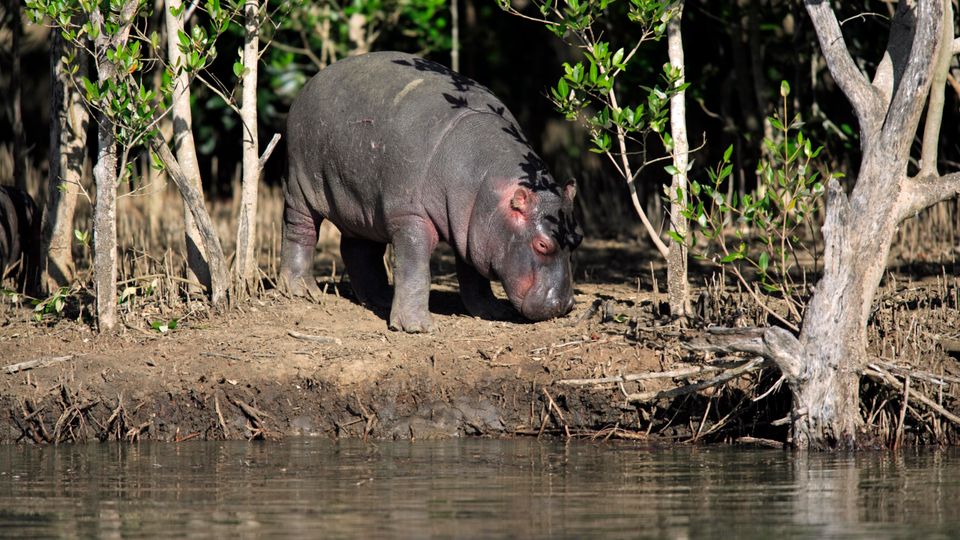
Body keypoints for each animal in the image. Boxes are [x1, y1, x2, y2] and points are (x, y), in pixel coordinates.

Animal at [281, 52, 581, 332]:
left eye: (578, 239)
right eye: (542, 244)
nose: (564, 305)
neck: (488, 185)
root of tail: (313, 80)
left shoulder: (472, 227)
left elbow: (474, 275)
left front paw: (493, 312)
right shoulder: (409, 216)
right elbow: (414, 270)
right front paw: (416, 327)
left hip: (362, 203)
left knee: (359, 251)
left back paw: (379, 299)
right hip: (299, 184)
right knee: (300, 230)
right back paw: (302, 291)